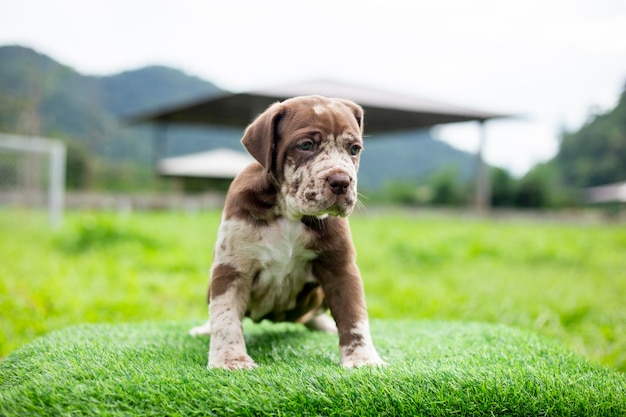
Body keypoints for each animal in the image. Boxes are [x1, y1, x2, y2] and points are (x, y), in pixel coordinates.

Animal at [190, 96, 382, 368]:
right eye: (306, 145)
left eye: (354, 149)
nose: (341, 182)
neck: (289, 212)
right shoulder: (232, 268)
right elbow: (225, 316)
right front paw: (230, 360)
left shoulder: (340, 269)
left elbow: (354, 316)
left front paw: (362, 358)